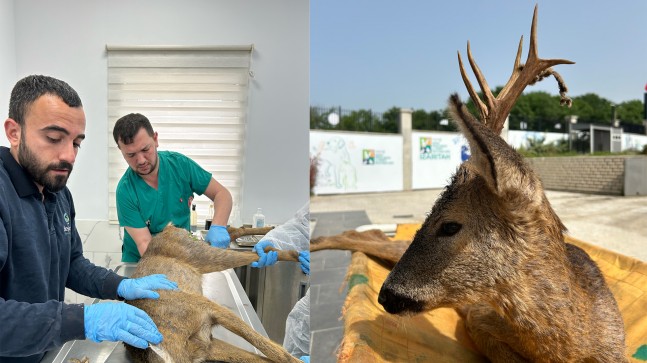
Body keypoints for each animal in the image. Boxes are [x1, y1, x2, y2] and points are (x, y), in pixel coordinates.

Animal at [124, 225, 304, 363]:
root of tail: (168, 229)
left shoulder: (210, 308)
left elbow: (275, 351)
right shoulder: (207, 345)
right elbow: (262, 357)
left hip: (204, 255)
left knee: (258, 250)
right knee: (235, 234)